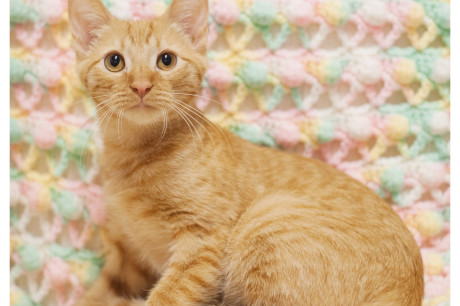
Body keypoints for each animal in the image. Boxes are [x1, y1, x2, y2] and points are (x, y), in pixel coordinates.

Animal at [69, 0, 424, 304]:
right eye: (114, 61)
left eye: (166, 60)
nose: (141, 85)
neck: (134, 154)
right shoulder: (126, 257)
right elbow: (94, 294)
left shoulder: (203, 242)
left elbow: (168, 296)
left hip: (267, 217)